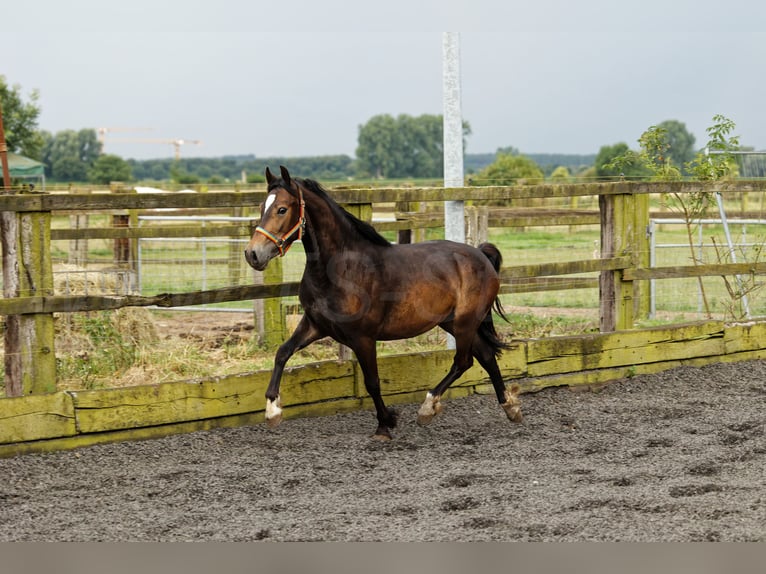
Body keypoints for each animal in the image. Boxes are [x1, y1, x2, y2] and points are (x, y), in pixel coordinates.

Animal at [244, 166, 522, 439]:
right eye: (260, 207)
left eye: (282, 209)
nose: (253, 254)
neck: (341, 269)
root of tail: (482, 255)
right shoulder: (315, 325)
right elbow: (282, 353)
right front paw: (272, 412)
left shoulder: (363, 337)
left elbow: (372, 382)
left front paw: (386, 423)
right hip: (452, 322)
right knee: (485, 355)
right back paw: (510, 407)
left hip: (465, 322)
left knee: (464, 361)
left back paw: (427, 408)